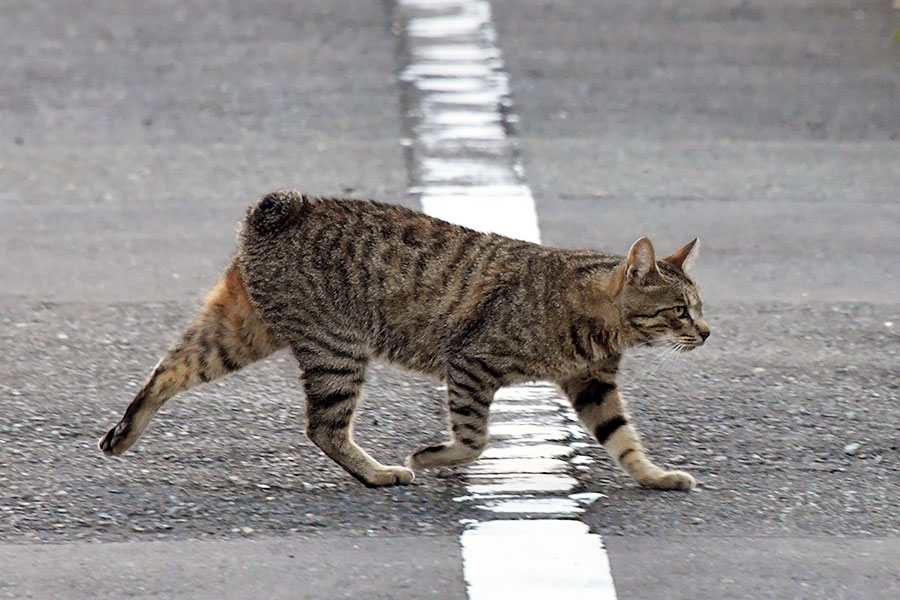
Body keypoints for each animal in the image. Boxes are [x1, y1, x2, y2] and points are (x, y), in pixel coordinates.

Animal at [100, 193, 712, 492]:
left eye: (701, 306)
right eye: (680, 310)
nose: (707, 331)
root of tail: (285, 208)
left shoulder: (593, 385)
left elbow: (624, 441)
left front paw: (655, 478)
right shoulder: (472, 364)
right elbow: (475, 438)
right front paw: (432, 455)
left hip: (241, 330)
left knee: (169, 369)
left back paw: (122, 435)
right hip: (337, 348)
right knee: (323, 426)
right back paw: (378, 473)